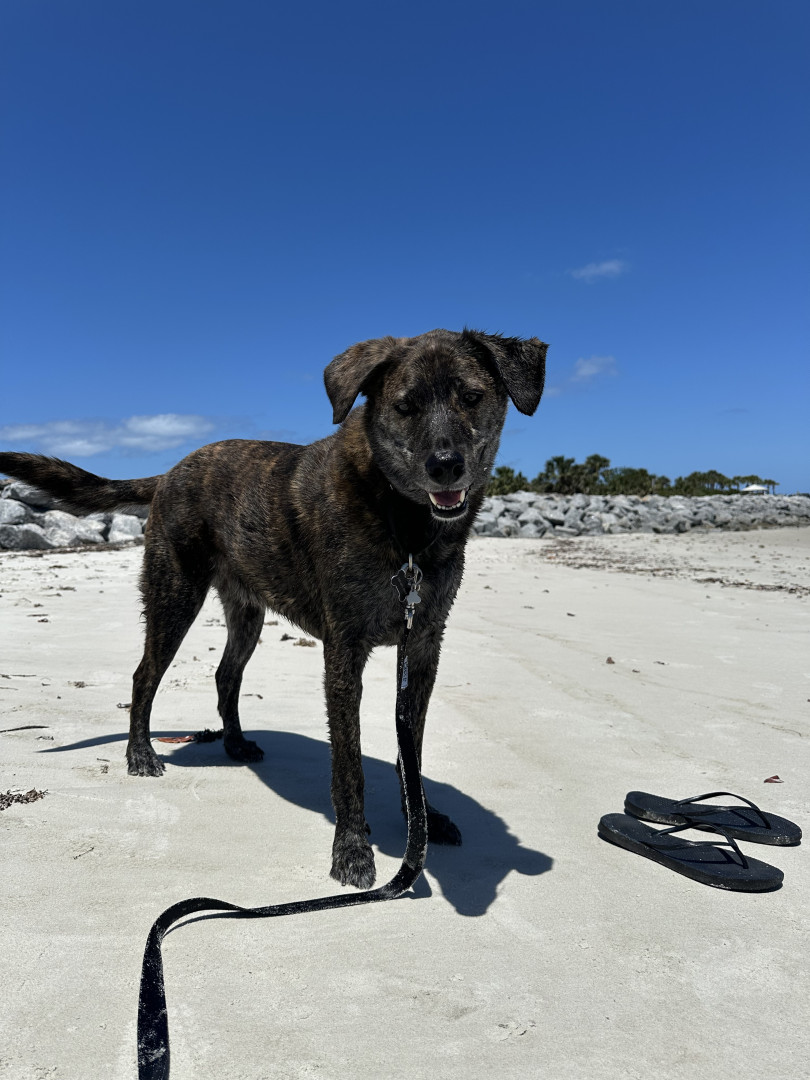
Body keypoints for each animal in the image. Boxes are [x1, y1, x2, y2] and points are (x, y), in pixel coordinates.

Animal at [0, 328, 546, 888]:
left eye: (472, 397)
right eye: (404, 406)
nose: (445, 466)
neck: (405, 526)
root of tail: (170, 471)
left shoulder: (421, 648)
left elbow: (408, 750)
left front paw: (422, 818)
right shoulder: (344, 654)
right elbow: (348, 765)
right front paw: (353, 848)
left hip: (248, 613)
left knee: (225, 674)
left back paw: (236, 744)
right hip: (174, 595)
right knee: (144, 675)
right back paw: (141, 753)